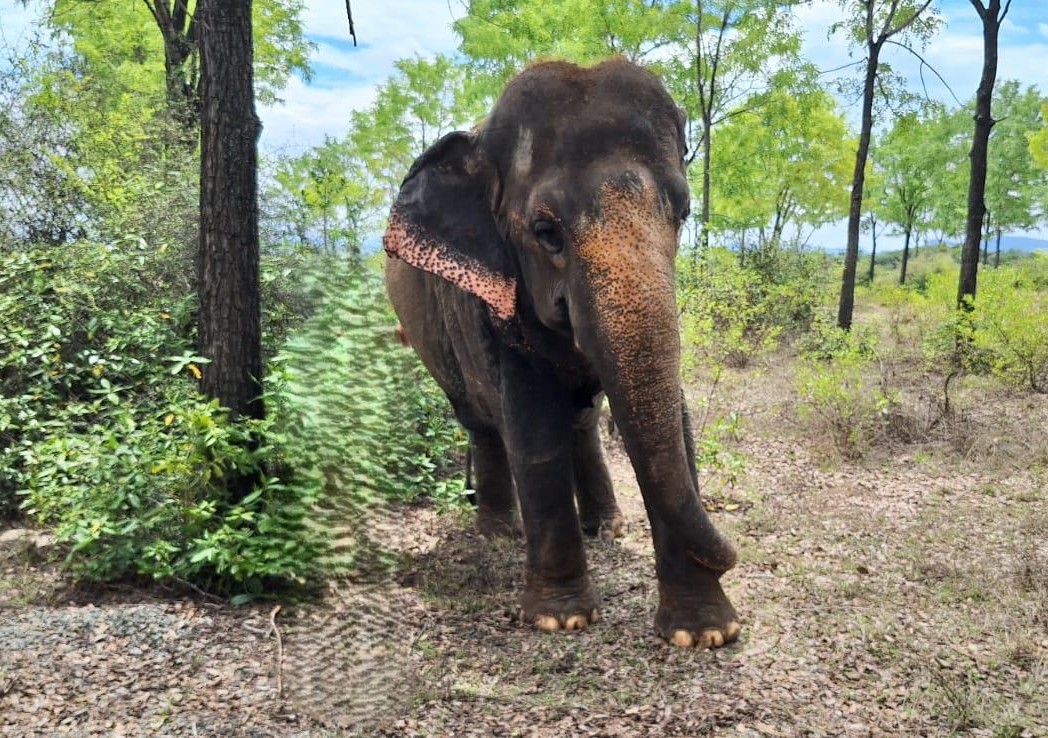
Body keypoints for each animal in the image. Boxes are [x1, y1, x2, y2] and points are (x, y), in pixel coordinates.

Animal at [383, 57, 740, 649]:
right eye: (545, 231)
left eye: (685, 213)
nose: (729, 554)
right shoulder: (495, 300)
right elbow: (533, 430)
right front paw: (561, 619)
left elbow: (676, 422)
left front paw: (706, 632)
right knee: (482, 422)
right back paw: (498, 533)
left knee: (583, 420)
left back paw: (607, 528)